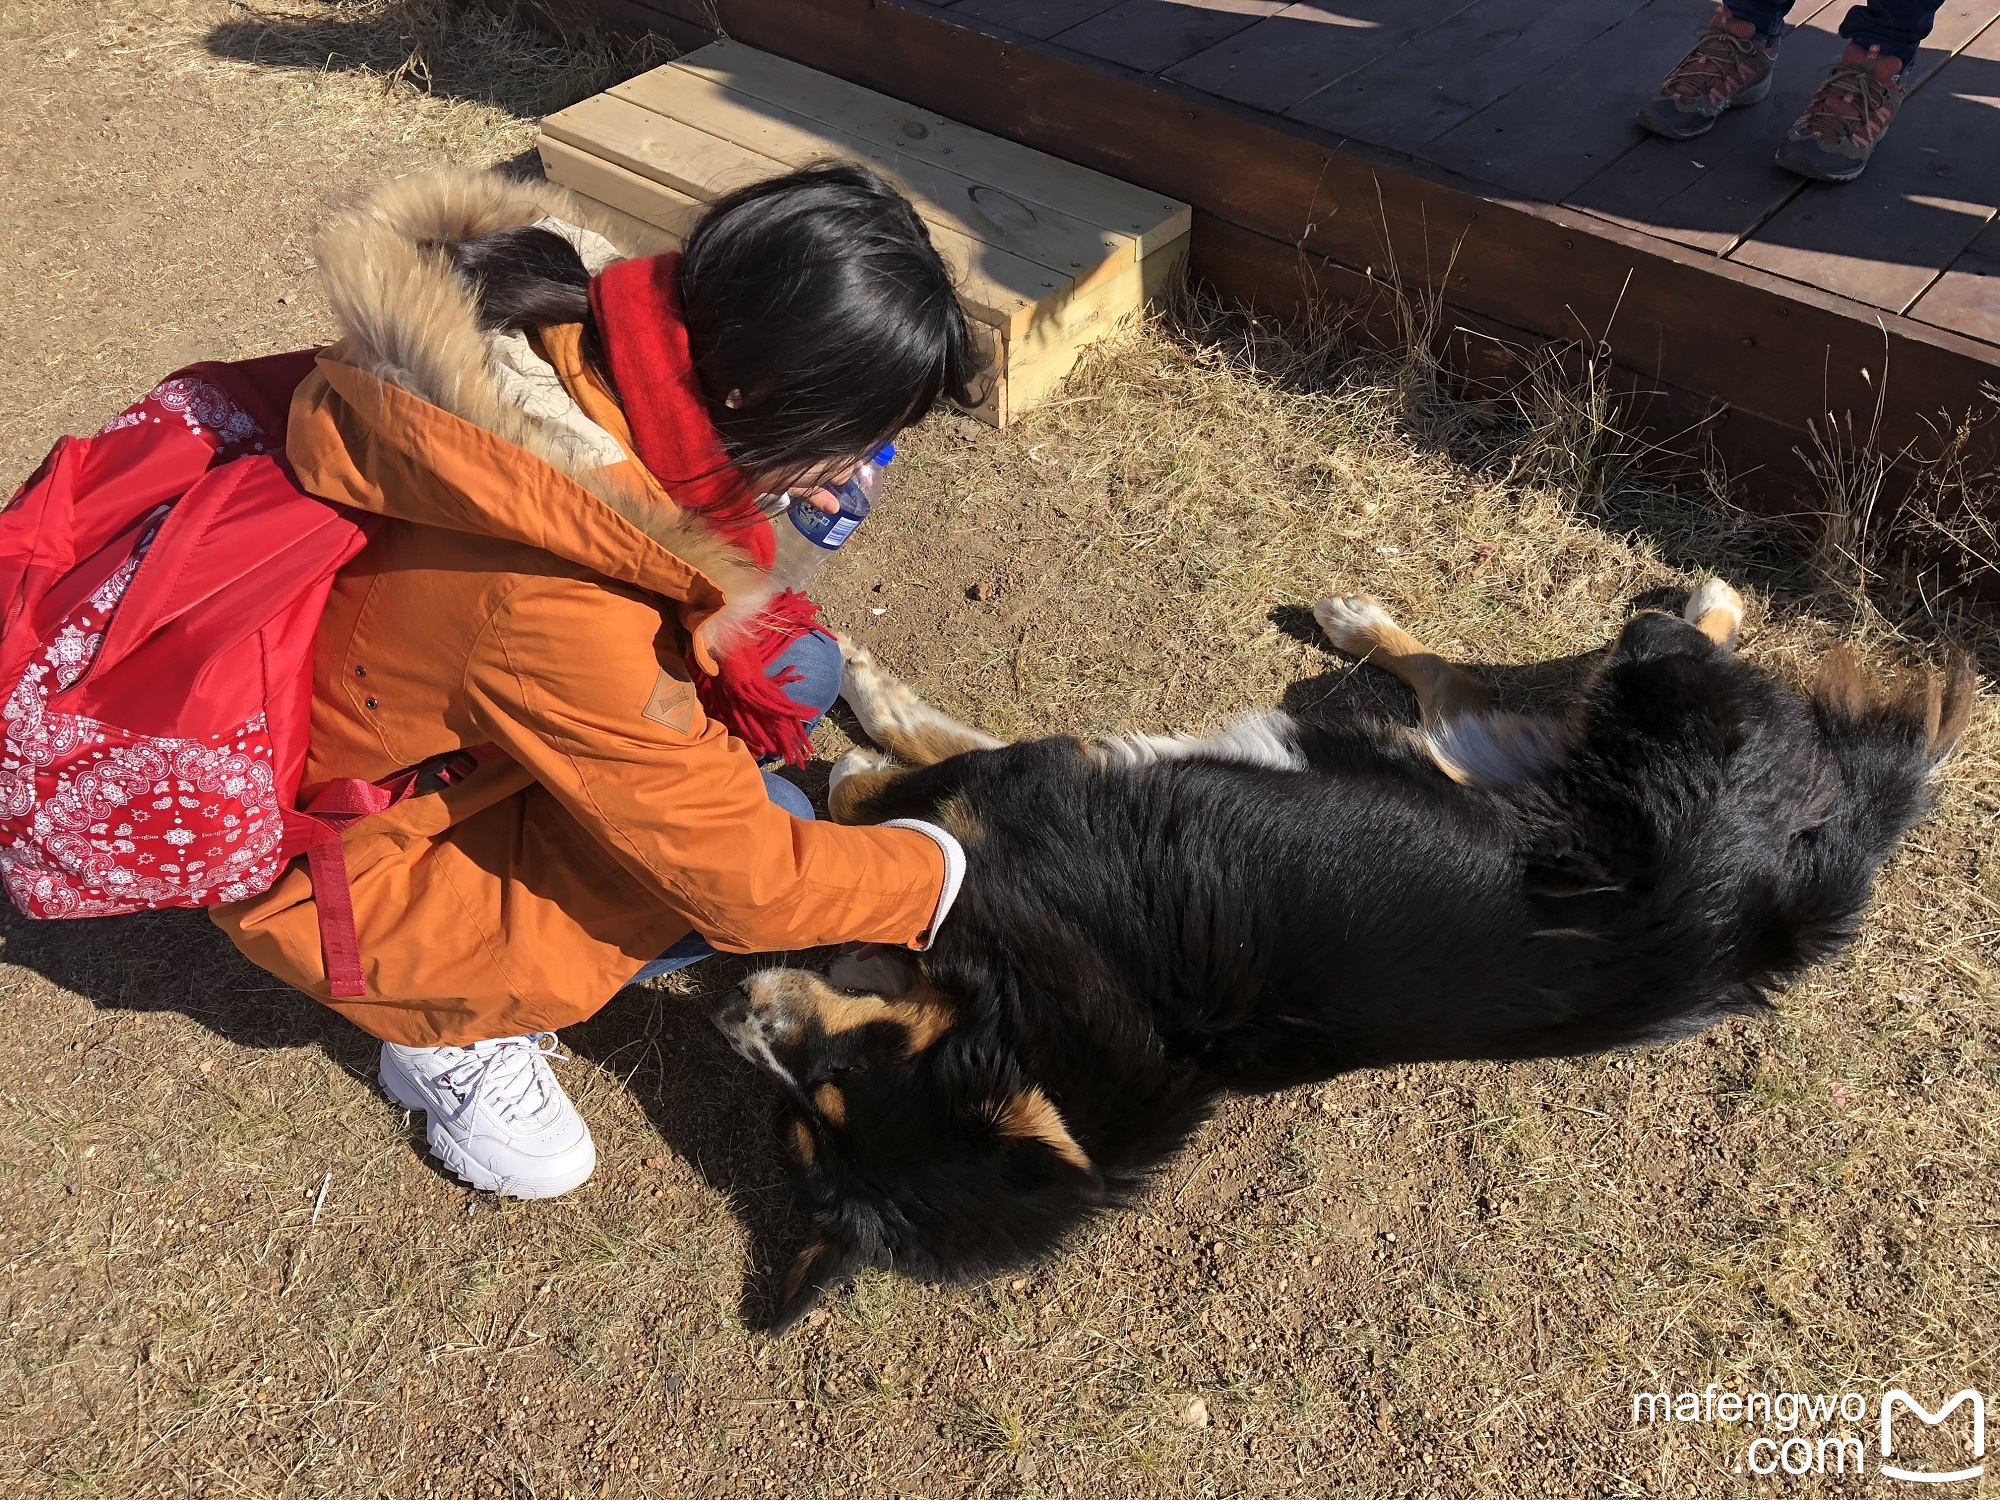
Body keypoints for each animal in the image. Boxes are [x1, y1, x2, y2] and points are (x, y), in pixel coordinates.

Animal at [708, 580, 1968, 1336]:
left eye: (835, 1087)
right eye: (797, 1130)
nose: (729, 1023)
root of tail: (1792, 891)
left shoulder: (1021, 783)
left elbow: (884, 785)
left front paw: (848, 732)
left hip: (1647, 699)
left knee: (1655, 641)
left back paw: (1695, 599)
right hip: (1479, 747)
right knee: (1456, 680)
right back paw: (1365, 624)